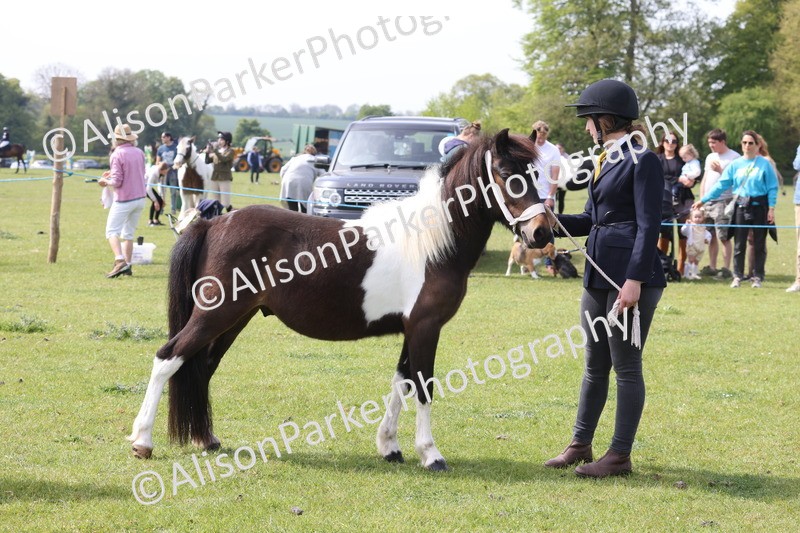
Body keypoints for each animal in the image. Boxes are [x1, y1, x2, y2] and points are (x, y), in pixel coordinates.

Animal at [128, 129, 554, 470]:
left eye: (536, 174)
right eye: (507, 176)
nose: (541, 233)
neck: (432, 243)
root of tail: (214, 222)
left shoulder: (411, 329)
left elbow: (401, 381)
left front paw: (390, 447)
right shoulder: (425, 327)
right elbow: (423, 385)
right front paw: (430, 454)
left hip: (234, 319)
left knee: (200, 368)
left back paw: (206, 439)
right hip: (214, 316)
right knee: (168, 359)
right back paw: (142, 441)